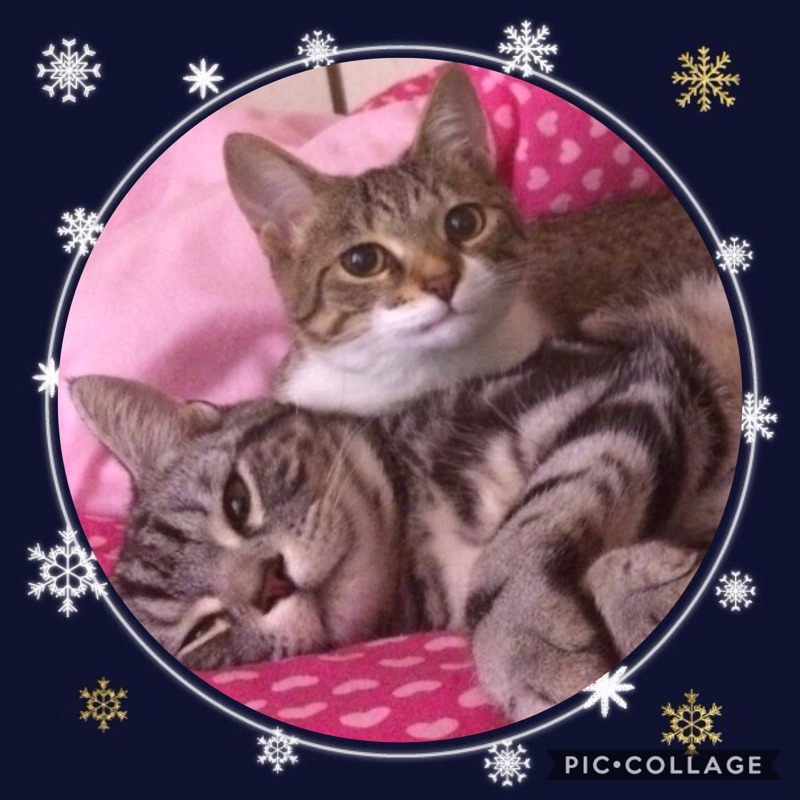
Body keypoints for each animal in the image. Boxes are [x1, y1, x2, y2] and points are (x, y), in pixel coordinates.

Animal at [69, 270, 741, 722]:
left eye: (237, 502)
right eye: (203, 632)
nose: (269, 584)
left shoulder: (619, 382)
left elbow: (518, 537)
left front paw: (528, 642)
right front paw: (645, 589)